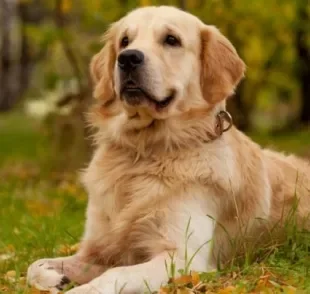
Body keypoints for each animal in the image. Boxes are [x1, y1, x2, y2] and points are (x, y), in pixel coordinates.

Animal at [27, 5, 310, 294]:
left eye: (171, 40)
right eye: (125, 41)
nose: (128, 58)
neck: (145, 150)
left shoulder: (183, 257)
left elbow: (114, 273)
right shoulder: (98, 249)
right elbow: (34, 265)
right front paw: (55, 278)